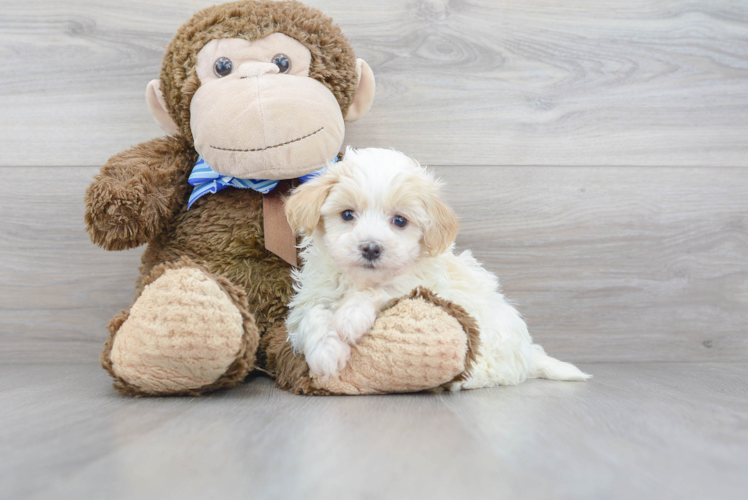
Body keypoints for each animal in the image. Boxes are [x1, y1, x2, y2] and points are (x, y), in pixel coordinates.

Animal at [284, 148, 588, 390]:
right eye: (347, 214)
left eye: (400, 221)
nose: (371, 248)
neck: (359, 280)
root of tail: (527, 352)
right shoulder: (310, 296)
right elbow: (312, 314)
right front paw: (325, 351)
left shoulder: (420, 284)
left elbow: (386, 288)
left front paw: (350, 316)